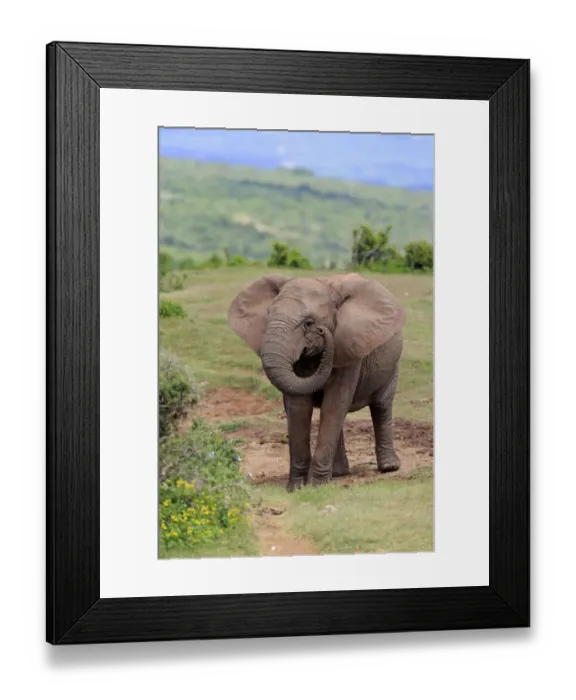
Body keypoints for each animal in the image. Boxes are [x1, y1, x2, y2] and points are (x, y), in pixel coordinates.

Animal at [227, 272, 406, 491]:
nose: (322, 331)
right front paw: (296, 488)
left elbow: (334, 404)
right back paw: (338, 474)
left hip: (392, 363)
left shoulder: (349, 347)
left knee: (381, 405)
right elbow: (299, 407)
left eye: (309, 323)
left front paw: (318, 486)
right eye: (268, 314)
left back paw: (388, 467)